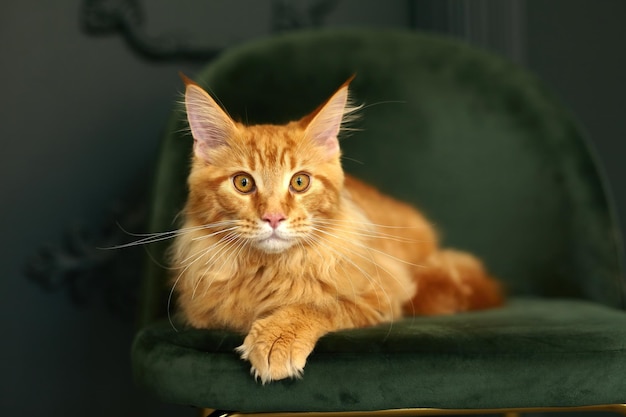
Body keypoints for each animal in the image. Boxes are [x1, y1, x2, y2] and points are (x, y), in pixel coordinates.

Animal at [171, 74, 502, 380]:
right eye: (243, 183)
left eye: (300, 182)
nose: (274, 217)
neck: (269, 270)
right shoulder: (201, 314)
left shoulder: (382, 294)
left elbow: (319, 304)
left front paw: (278, 336)